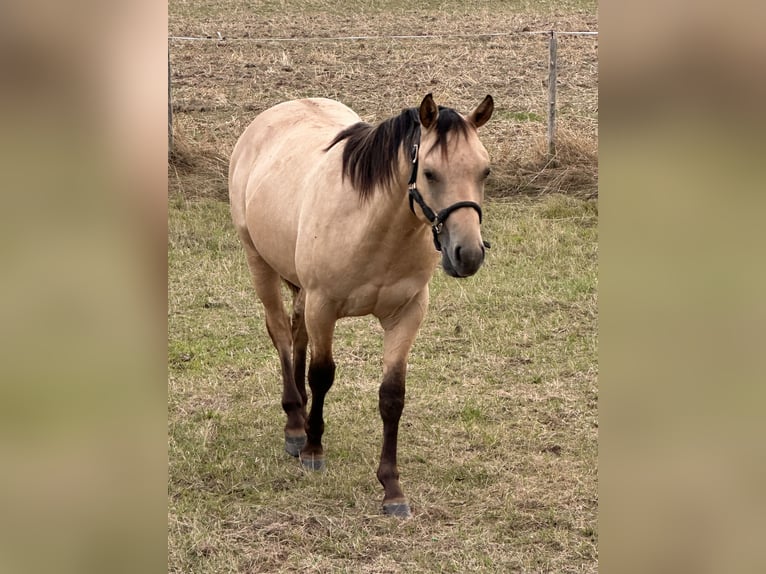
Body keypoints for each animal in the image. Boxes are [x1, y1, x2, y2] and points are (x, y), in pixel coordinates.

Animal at [229, 93, 494, 517]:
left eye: (485, 171)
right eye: (430, 173)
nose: (468, 254)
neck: (374, 226)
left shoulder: (407, 315)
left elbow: (392, 395)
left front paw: (392, 488)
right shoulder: (324, 306)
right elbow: (322, 375)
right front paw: (313, 449)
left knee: (297, 332)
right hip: (260, 265)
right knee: (282, 335)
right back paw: (295, 424)